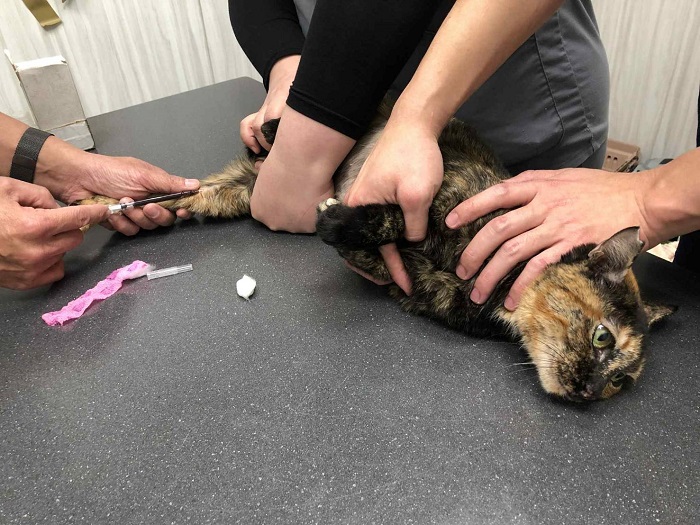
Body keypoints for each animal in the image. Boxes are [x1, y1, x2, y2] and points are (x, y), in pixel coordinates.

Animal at [79, 105, 675, 401]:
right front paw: (337, 215)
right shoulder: (432, 196)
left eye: (619, 384)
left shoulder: (411, 285)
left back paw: (111, 204)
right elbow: (388, 215)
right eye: (602, 338)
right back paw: (268, 129)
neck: (494, 295)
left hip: (232, 193)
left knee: (193, 194)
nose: (589, 390)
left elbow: (377, 253)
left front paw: (337, 223)